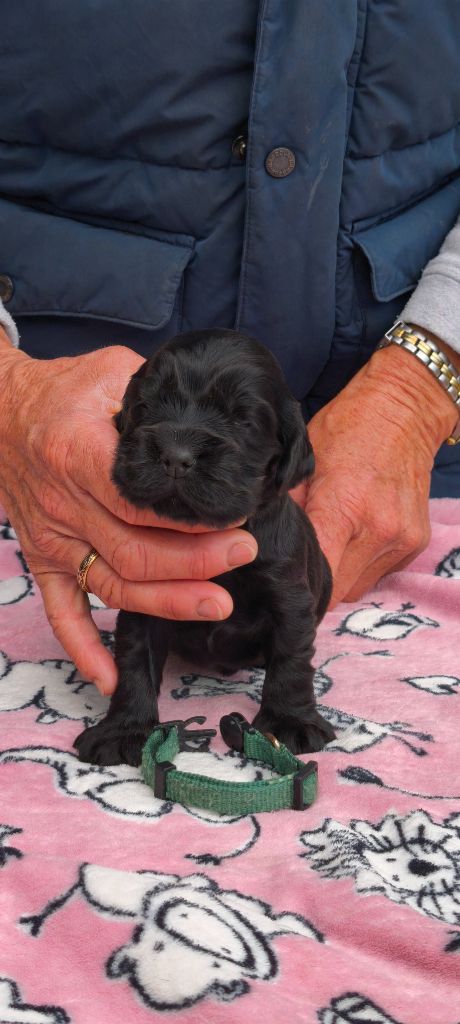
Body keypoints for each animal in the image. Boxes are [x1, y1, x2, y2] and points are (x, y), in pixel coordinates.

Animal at [74, 329, 335, 765]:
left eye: (242, 419)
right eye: (147, 405)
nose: (176, 457)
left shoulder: (289, 595)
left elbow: (292, 656)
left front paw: (290, 719)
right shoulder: (145, 599)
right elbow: (134, 659)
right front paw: (127, 727)